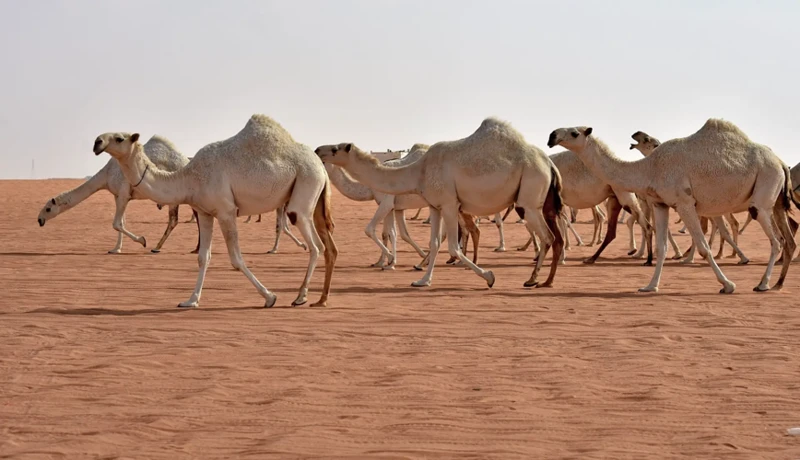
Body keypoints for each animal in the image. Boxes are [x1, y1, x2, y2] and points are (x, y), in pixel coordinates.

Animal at [38, 135, 198, 253]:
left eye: (48, 209)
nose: (40, 220)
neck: (106, 175)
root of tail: (186, 161)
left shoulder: (123, 192)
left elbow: (116, 223)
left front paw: (142, 240)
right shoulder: (117, 195)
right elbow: (121, 222)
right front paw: (116, 249)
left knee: (174, 220)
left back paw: (157, 247)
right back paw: (193, 249)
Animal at [94, 115, 338, 310]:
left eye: (119, 138)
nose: (97, 142)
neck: (190, 178)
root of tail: (321, 165)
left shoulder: (226, 211)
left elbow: (236, 259)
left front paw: (270, 297)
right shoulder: (205, 212)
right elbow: (203, 257)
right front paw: (191, 300)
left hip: (305, 185)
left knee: (315, 245)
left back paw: (301, 297)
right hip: (312, 197)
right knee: (327, 246)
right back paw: (317, 298)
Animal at [316, 117, 564, 290]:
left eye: (336, 148)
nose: (318, 149)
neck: (419, 170)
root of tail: (549, 164)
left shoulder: (448, 203)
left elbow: (451, 244)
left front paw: (489, 277)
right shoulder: (434, 206)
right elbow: (433, 242)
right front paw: (422, 279)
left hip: (529, 196)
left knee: (547, 236)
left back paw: (535, 279)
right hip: (538, 202)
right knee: (553, 236)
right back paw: (542, 279)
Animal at [548, 120, 796, 292]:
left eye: (575, 132)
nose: (552, 135)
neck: (651, 167)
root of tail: (781, 162)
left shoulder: (684, 202)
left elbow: (703, 246)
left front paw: (728, 285)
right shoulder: (661, 203)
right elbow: (662, 247)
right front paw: (650, 286)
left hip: (764, 192)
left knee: (777, 240)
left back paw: (763, 284)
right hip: (775, 201)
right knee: (786, 238)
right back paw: (777, 283)